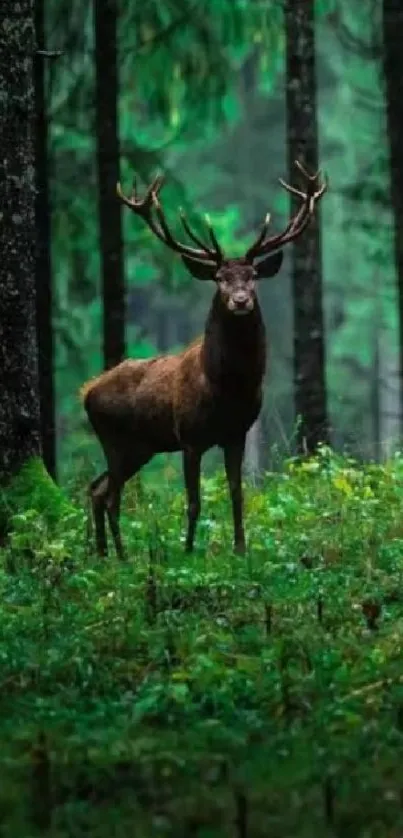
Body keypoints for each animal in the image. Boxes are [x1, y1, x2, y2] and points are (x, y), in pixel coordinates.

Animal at [81, 161, 328, 560]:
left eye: (252, 276)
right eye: (219, 278)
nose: (240, 300)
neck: (227, 387)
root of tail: (86, 391)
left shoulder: (237, 433)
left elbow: (237, 494)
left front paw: (240, 549)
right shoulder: (190, 437)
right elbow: (194, 501)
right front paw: (187, 551)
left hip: (140, 447)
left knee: (97, 489)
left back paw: (104, 555)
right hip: (114, 439)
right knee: (111, 495)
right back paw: (121, 556)